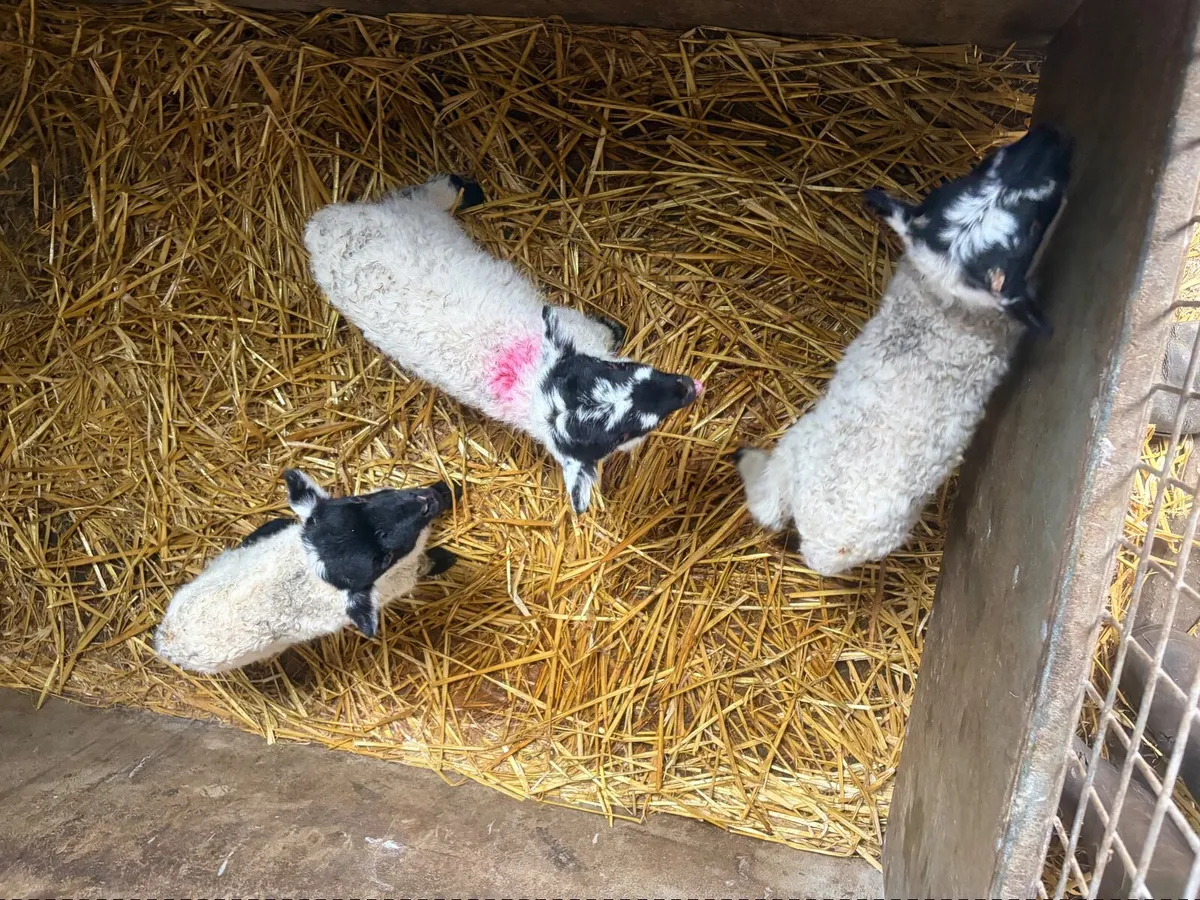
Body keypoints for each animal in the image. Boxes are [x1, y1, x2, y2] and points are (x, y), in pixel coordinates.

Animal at [154, 470, 459, 674]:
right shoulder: (397, 580)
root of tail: (166, 641)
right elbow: (424, 566)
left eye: (359, 500)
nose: (426, 501)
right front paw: (446, 557)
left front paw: (448, 488)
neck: (307, 569)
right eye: (384, 559)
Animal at [303, 174, 704, 514]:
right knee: (424, 196)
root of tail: (321, 229)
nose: (686, 387)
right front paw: (618, 330)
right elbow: (607, 332)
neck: (528, 378)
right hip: (416, 219)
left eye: (613, 370)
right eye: (623, 432)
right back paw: (463, 189)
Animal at [735, 124, 1072, 577]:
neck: (938, 298)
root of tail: (811, 524)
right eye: (1030, 223)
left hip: (793, 445)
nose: (1052, 136)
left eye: (986, 162)